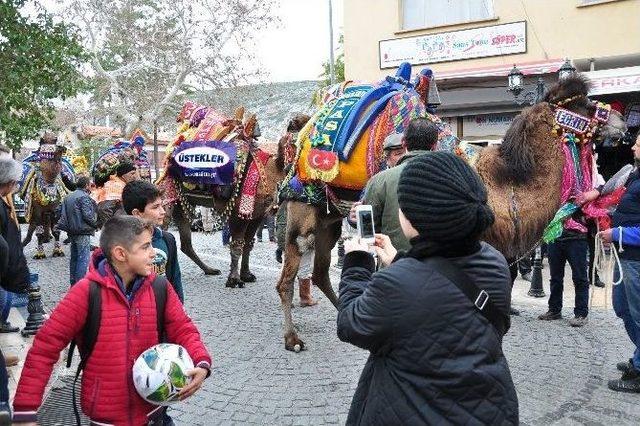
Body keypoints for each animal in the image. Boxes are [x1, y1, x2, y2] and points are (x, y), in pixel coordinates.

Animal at [276, 62, 624, 350]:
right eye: (585, 105)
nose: (621, 122)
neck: (503, 183)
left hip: (329, 219)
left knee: (320, 271)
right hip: (301, 211)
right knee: (289, 275)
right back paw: (293, 339)